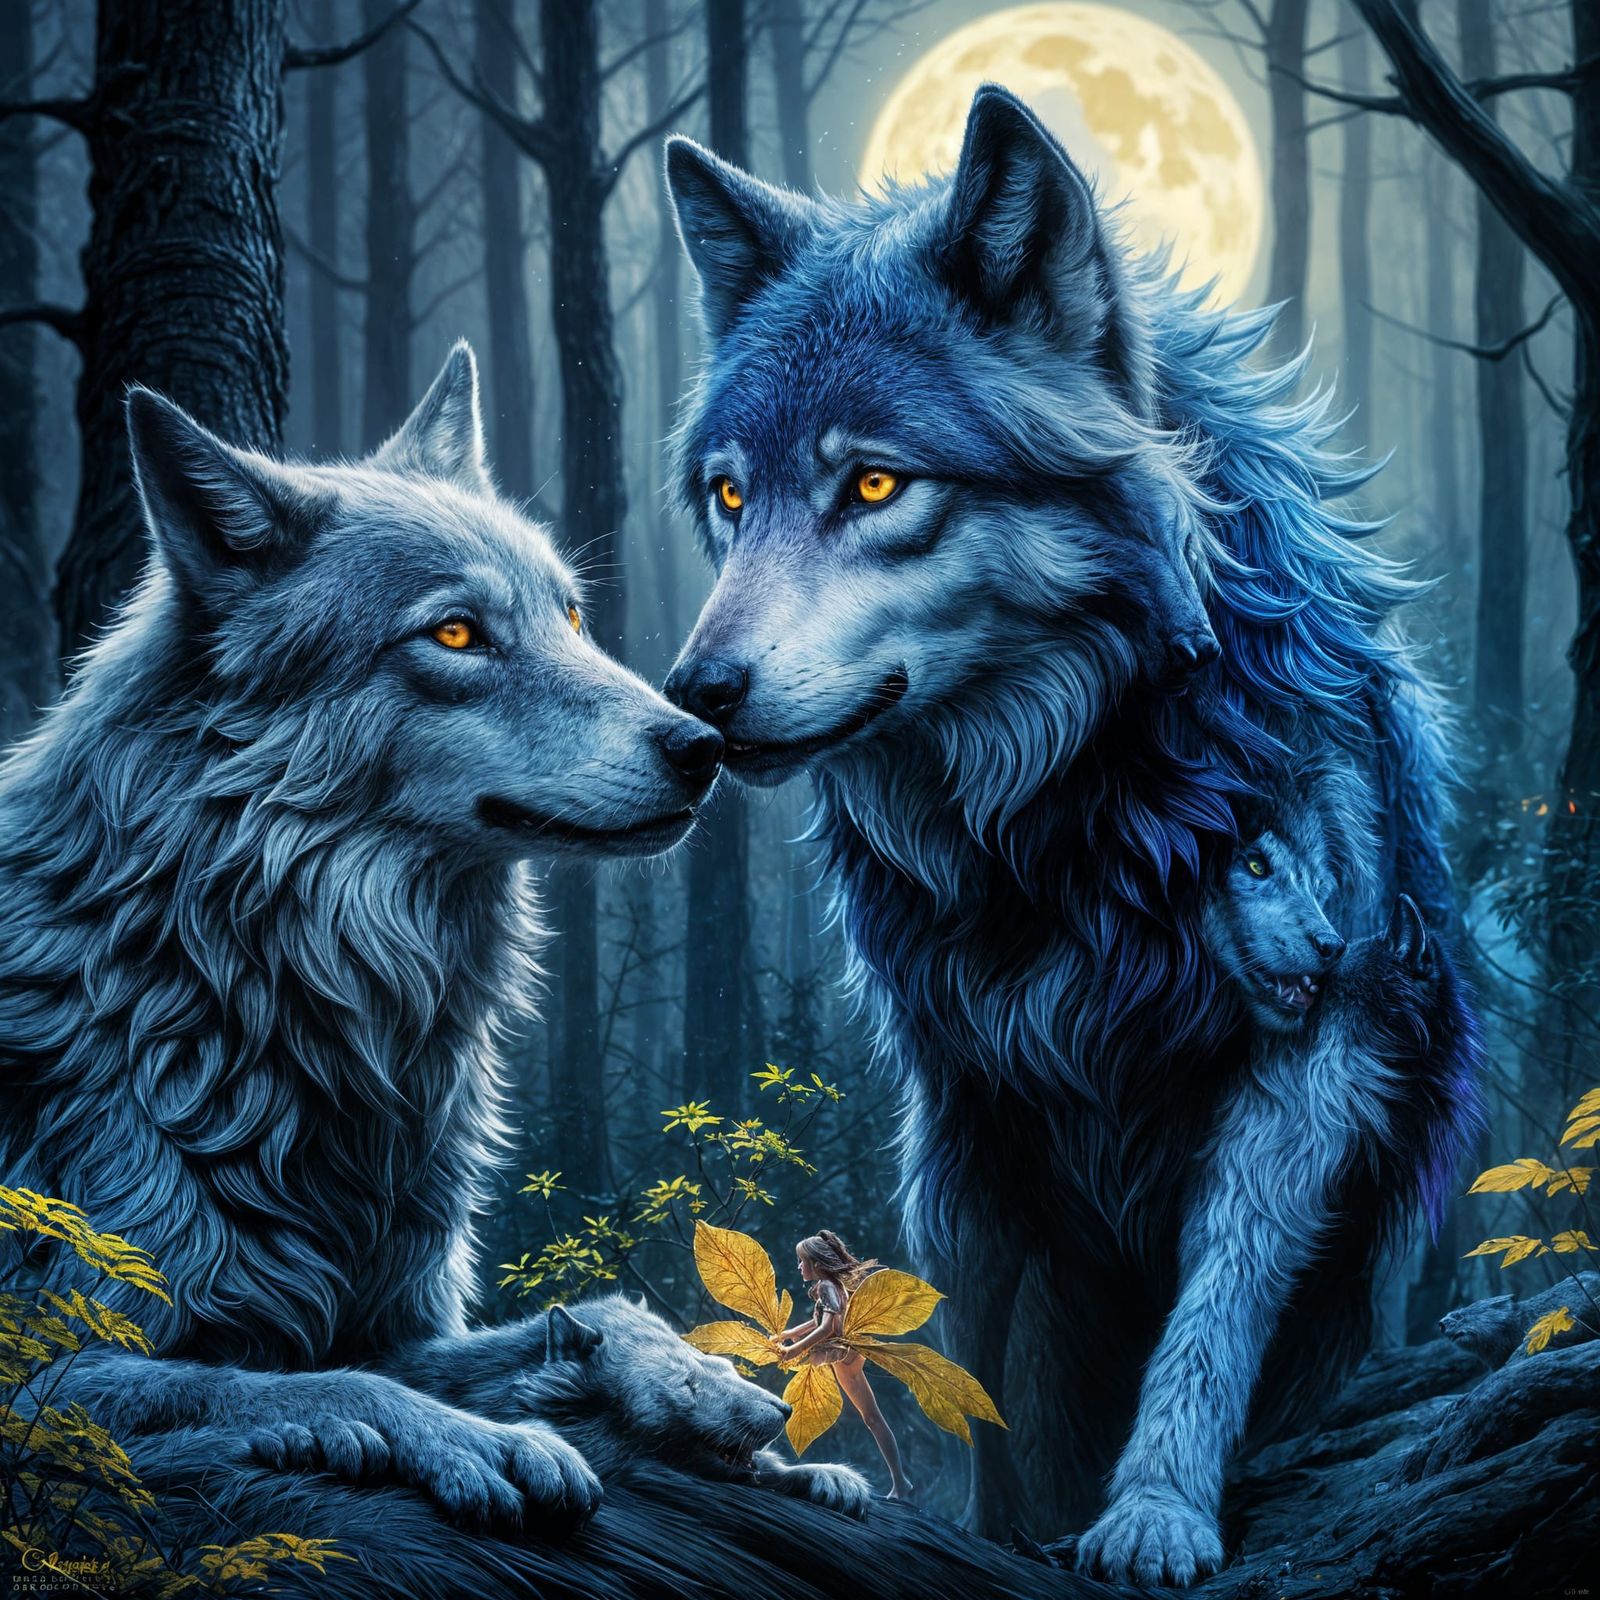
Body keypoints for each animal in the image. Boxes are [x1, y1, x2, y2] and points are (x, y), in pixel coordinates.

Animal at [0, 343, 725, 1536]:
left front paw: (701, 1382)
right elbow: (307, 1381)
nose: (706, 745)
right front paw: (473, 1440)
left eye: (572, 619)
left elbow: (590, 1311)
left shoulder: (402, 1318)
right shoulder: (47, 1364)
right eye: (457, 633)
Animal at [660, 86, 1483, 1585]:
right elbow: (976, 1353)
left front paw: (1153, 1511)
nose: (693, 698)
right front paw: (999, 1531)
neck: (1066, 815)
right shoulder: (962, 1103)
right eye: (732, 497)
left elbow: (1216, 1302)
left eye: (875, 489)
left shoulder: (1311, 1053)